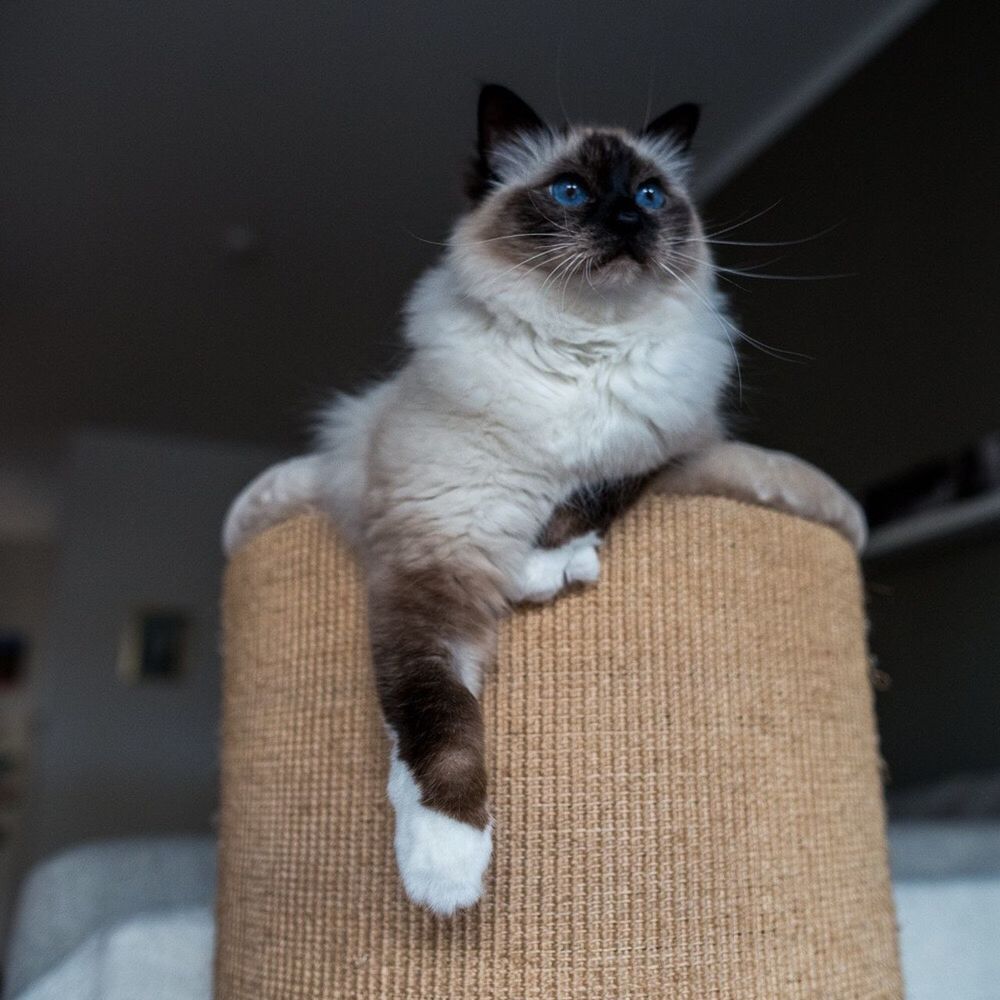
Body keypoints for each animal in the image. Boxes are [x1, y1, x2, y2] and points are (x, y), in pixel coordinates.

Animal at [225, 86, 868, 916]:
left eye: (649, 195)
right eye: (570, 191)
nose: (626, 219)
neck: (580, 352)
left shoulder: (673, 442)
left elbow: (592, 492)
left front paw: (545, 567)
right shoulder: (432, 557)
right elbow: (439, 716)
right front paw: (446, 869)